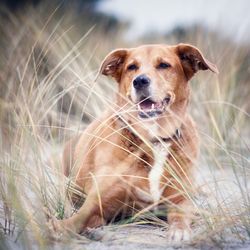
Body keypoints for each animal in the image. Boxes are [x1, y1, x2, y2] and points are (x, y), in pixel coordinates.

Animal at [54, 44, 217, 241]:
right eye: (131, 67)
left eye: (164, 65)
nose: (139, 81)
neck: (154, 140)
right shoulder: (100, 200)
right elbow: (77, 219)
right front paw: (60, 227)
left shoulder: (180, 199)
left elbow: (180, 216)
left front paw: (180, 231)